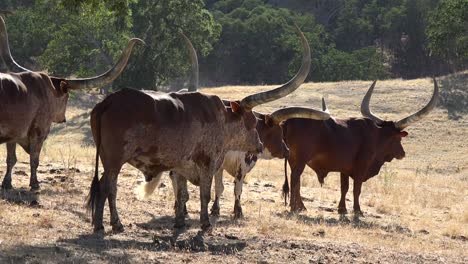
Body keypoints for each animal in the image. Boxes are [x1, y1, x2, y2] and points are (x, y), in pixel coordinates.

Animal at [0, 16, 144, 190]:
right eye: (67, 97)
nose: (62, 118)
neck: (44, 90)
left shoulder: (14, 135)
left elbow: (11, 159)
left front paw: (7, 183)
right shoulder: (39, 132)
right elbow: (34, 160)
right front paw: (35, 184)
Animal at [86, 26, 328, 233]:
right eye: (252, 122)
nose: (261, 146)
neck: (221, 118)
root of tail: (108, 101)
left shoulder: (182, 166)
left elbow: (183, 194)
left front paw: (180, 221)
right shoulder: (209, 162)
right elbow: (207, 193)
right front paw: (206, 223)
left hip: (107, 159)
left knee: (103, 186)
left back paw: (100, 224)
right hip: (115, 159)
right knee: (108, 187)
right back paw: (114, 224)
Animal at [282, 79, 438, 213]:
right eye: (398, 138)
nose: (402, 153)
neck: (376, 136)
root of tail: (288, 121)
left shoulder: (344, 169)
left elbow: (344, 187)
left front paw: (342, 208)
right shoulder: (362, 167)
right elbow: (357, 188)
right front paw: (357, 210)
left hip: (292, 160)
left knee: (295, 180)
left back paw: (299, 206)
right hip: (300, 160)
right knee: (295, 178)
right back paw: (295, 207)